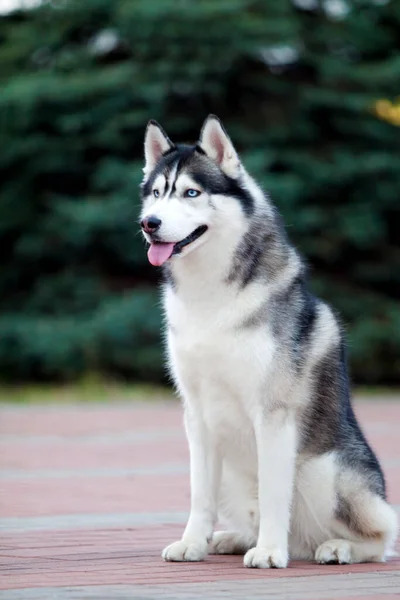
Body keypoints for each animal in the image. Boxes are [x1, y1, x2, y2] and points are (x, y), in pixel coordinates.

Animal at [140, 116, 396, 568]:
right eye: (156, 193)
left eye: (191, 192)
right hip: (231, 470)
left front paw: (271, 552)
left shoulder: (274, 413)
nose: (149, 223)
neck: (210, 295)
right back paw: (232, 539)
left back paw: (334, 547)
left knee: (379, 537)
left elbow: (276, 494)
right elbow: (199, 496)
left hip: (324, 470)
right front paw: (192, 543)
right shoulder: (197, 415)